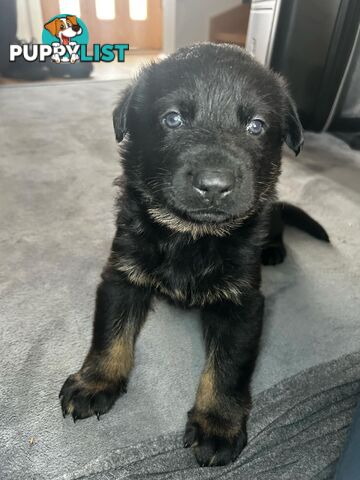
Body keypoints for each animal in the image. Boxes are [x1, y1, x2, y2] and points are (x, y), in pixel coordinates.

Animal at [59, 43, 330, 466]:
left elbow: (227, 367)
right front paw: (96, 381)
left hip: (271, 211)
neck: (192, 234)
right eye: (172, 119)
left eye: (256, 126)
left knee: (279, 223)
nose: (214, 185)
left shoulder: (242, 305)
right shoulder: (121, 276)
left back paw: (273, 249)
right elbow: (109, 334)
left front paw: (217, 425)